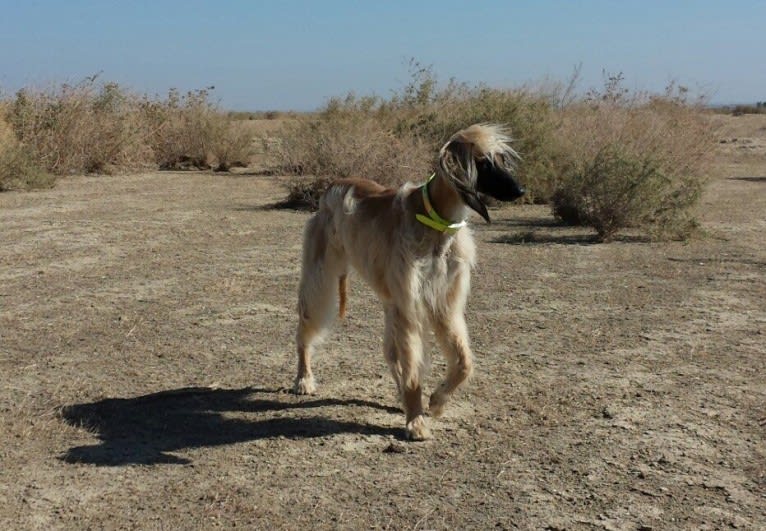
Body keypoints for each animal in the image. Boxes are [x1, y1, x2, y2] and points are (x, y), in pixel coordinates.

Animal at [292, 124, 524, 440]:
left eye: (501, 159)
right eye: (484, 163)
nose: (520, 190)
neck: (436, 221)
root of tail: (332, 186)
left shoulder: (443, 302)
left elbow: (463, 363)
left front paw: (436, 401)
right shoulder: (411, 303)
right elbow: (415, 369)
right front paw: (416, 420)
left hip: (391, 300)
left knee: (392, 354)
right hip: (321, 274)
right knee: (306, 327)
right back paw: (304, 377)